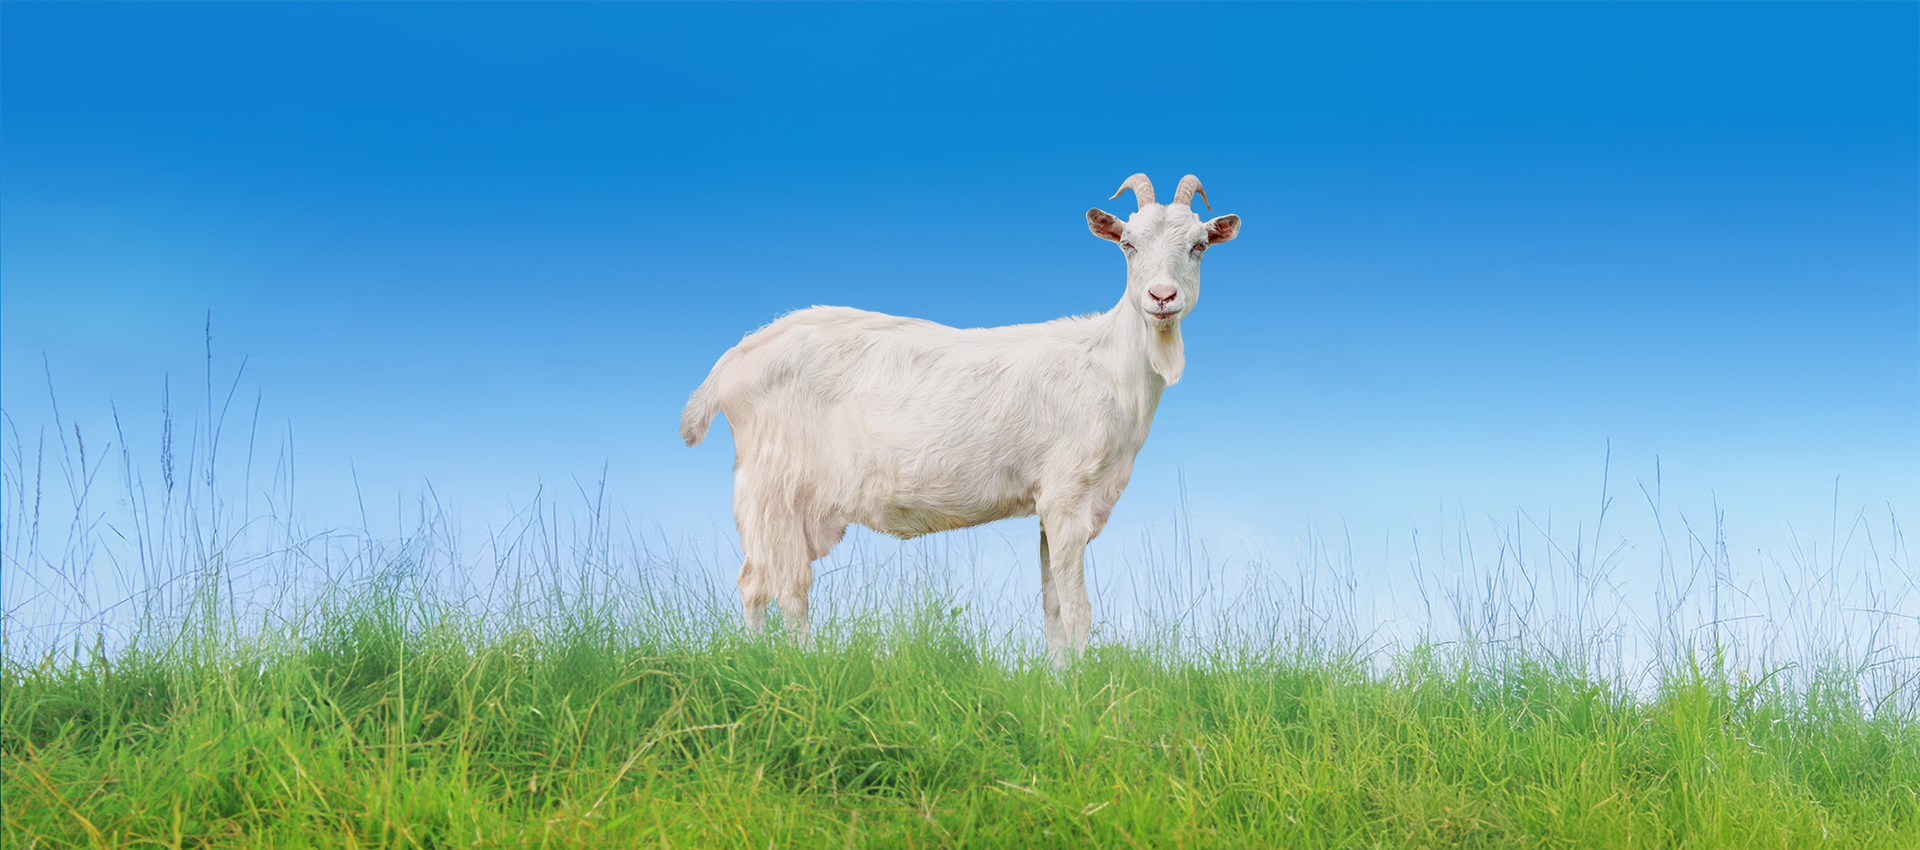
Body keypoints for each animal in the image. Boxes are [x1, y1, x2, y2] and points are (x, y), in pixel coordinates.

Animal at [681, 173, 1241, 663]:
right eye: (1127, 243)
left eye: (1199, 246)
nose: (1162, 297)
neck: (1109, 365)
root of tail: (736, 358)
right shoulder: (1068, 494)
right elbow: (1078, 611)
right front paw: (1084, 696)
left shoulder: (1047, 504)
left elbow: (1053, 608)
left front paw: (1059, 686)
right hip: (772, 485)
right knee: (779, 586)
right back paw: (790, 670)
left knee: (759, 581)